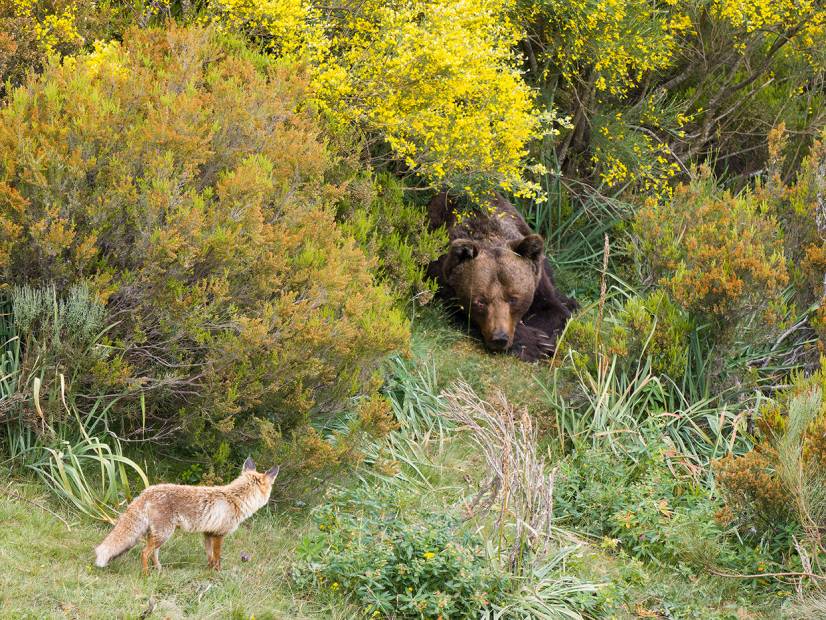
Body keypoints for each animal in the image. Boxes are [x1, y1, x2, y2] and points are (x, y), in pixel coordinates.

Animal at [94, 458, 276, 572]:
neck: (235, 499)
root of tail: (146, 492)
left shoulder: (208, 534)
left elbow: (210, 557)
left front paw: (209, 572)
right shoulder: (219, 535)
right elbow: (218, 558)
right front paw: (218, 574)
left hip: (157, 535)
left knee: (153, 554)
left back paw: (159, 571)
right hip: (164, 534)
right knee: (144, 553)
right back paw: (146, 575)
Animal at [428, 191, 576, 360]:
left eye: (514, 299)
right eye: (480, 301)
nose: (499, 338)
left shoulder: (538, 284)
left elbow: (554, 311)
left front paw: (545, 342)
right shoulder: (440, 276)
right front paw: (535, 343)